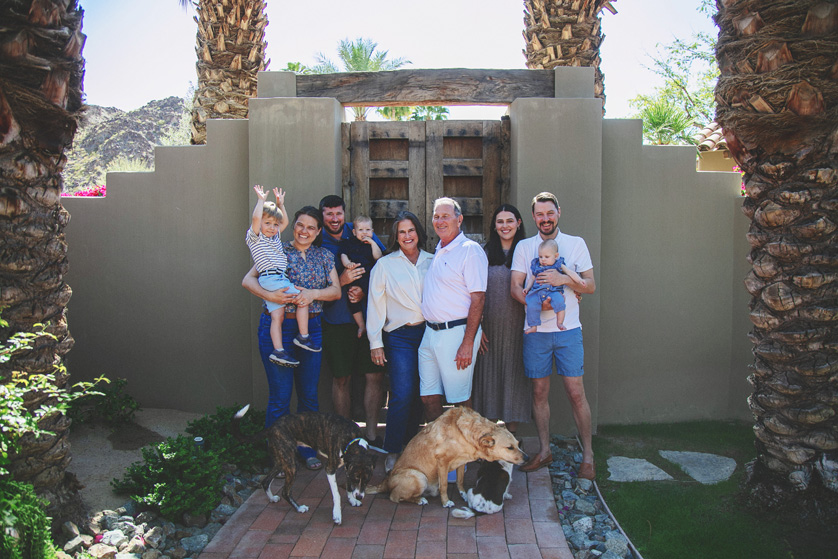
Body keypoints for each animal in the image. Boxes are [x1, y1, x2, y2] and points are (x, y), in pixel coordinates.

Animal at [231, 406, 378, 524]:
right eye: (356, 478)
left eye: (367, 480)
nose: (359, 496)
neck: (352, 440)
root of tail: (271, 427)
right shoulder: (330, 469)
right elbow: (337, 494)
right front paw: (337, 515)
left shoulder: (348, 467)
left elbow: (348, 487)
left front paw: (352, 500)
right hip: (291, 465)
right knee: (285, 492)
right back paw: (299, 508)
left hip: (282, 461)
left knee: (266, 481)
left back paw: (272, 498)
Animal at [370, 406, 528, 508]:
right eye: (509, 447)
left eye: (517, 444)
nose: (527, 458)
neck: (465, 433)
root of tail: (385, 482)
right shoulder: (442, 461)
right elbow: (444, 485)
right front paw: (446, 502)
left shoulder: (461, 461)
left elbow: (460, 481)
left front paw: (463, 495)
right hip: (419, 477)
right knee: (394, 496)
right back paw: (420, 500)